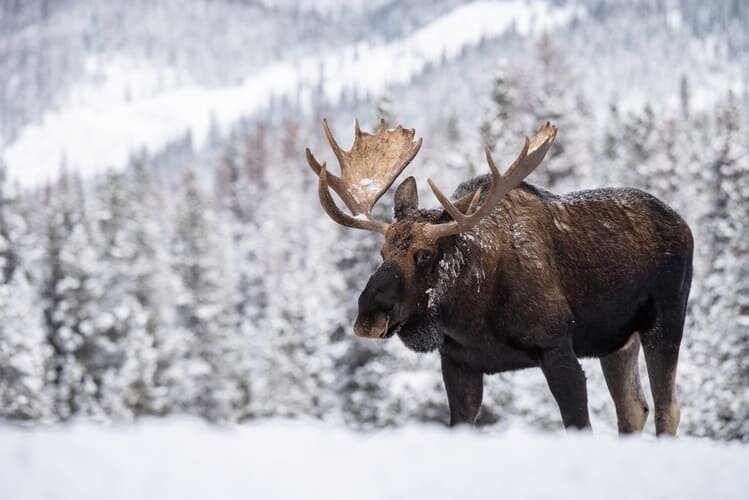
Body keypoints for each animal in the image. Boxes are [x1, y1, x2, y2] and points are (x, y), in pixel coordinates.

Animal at [306, 119, 692, 436]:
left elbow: (579, 424)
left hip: (665, 322)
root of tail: (684, 225)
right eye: (382, 251)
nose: (368, 316)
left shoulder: (557, 347)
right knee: (634, 410)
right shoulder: (459, 363)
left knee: (666, 409)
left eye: (425, 254)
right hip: (616, 343)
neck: (474, 313)